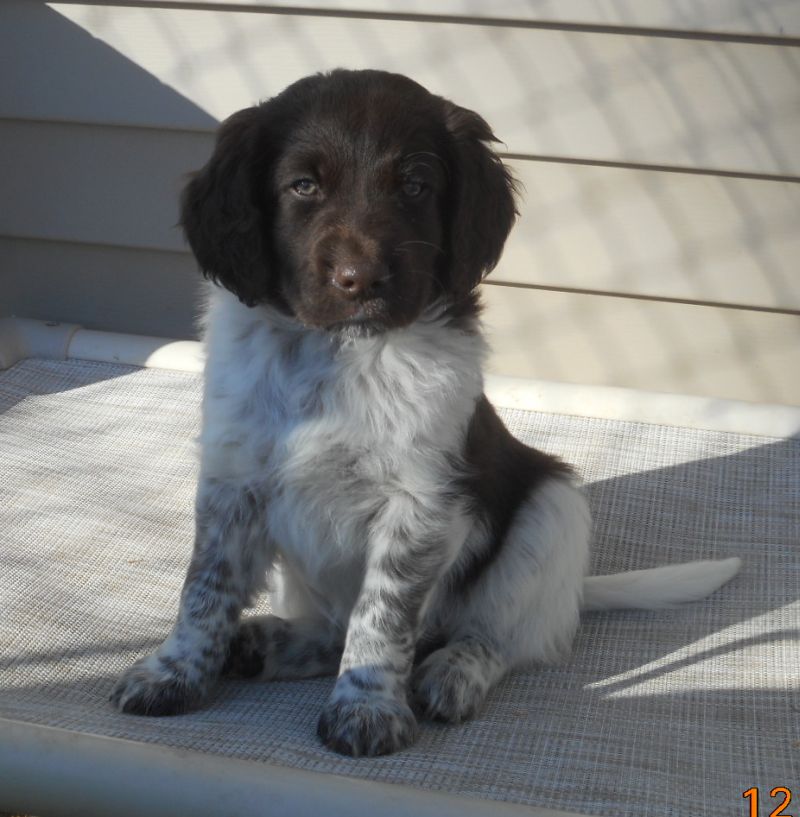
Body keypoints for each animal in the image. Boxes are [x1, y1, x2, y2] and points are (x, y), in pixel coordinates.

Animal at [109, 70, 740, 760]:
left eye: (414, 186)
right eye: (303, 186)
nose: (360, 279)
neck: (338, 352)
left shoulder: (421, 502)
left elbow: (382, 615)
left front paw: (366, 709)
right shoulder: (232, 480)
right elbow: (205, 588)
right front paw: (173, 674)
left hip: (554, 513)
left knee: (499, 636)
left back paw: (451, 674)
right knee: (332, 627)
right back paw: (265, 644)